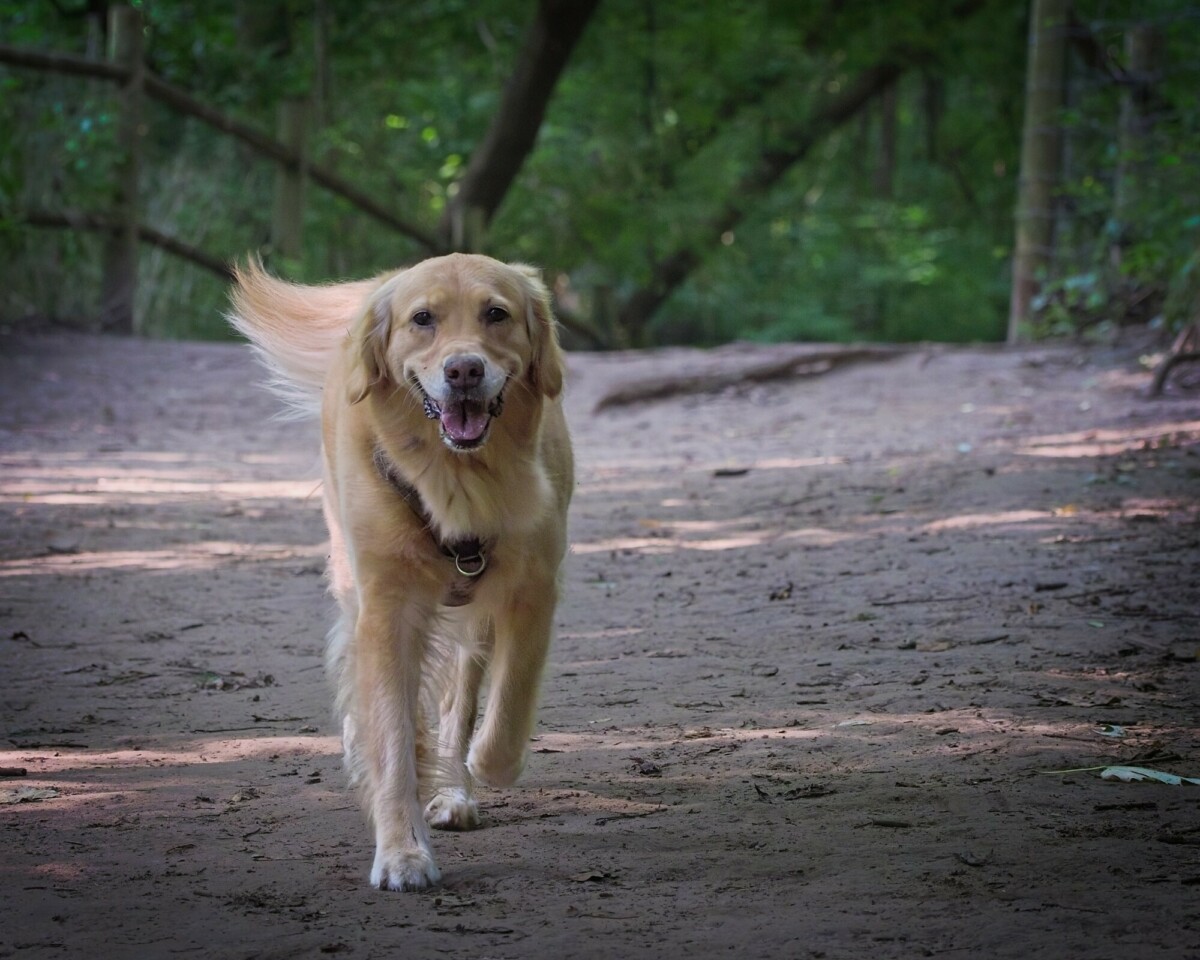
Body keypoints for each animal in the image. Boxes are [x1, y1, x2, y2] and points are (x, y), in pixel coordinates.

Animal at [232, 250, 576, 888]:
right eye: (423, 319)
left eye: (496, 314)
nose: (464, 370)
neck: (458, 480)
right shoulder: (387, 608)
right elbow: (390, 737)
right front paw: (400, 851)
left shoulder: (534, 588)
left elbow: (507, 710)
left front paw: (478, 766)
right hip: (354, 572)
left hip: (474, 617)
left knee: (459, 701)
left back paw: (456, 788)